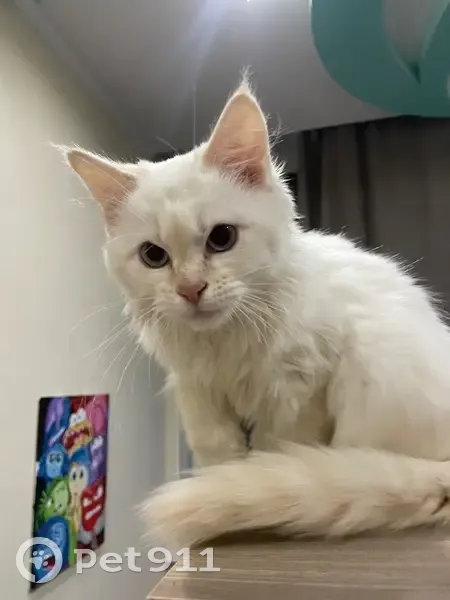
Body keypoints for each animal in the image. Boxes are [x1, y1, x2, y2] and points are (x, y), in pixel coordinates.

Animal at [65, 82, 450, 548]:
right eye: (153, 256)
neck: (225, 345)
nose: (190, 290)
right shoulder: (198, 393)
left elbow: (273, 452)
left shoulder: (300, 392)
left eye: (222, 238)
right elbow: (220, 457)